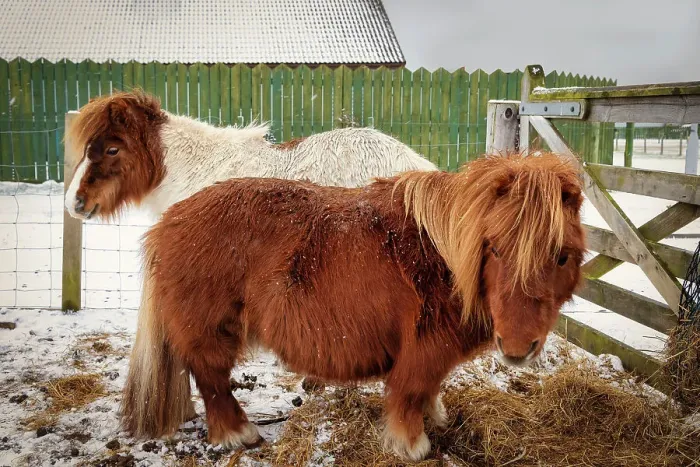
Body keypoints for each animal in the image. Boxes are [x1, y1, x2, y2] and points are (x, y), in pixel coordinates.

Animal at [122, 152, 586, 462]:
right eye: (495, 249)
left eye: (562, 256)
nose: (518, 348)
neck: (447, 257)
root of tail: (167, 222)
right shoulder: (421, 351)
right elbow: (410, 394)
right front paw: (411, 446)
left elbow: (429, 390)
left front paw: (436, 419)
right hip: (211, 333)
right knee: (212, 381)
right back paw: (239, 435)